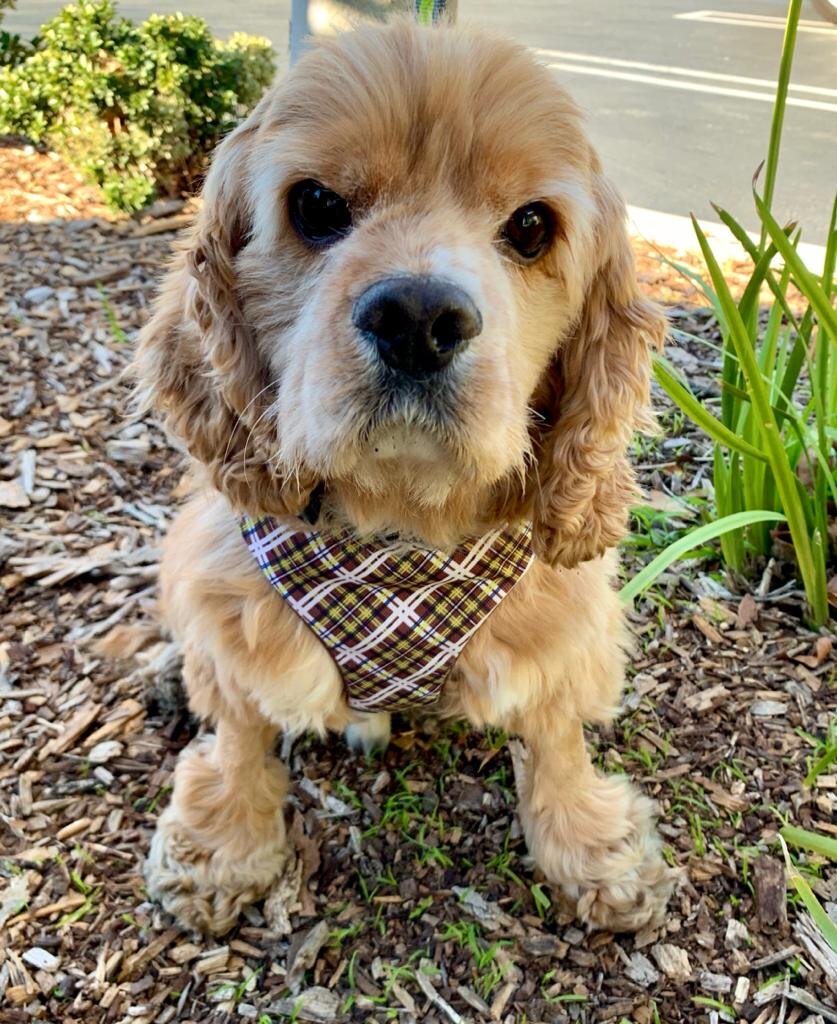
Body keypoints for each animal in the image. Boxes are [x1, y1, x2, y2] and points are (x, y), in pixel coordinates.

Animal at [134, 22, 676, 937]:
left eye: (532, 226)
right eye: (316, 206)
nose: (418, 320)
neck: (398, 531)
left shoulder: (569, 626)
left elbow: (559, 736)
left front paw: (592, 850)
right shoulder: (228, 611)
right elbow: (238, 730)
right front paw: (221, 846)